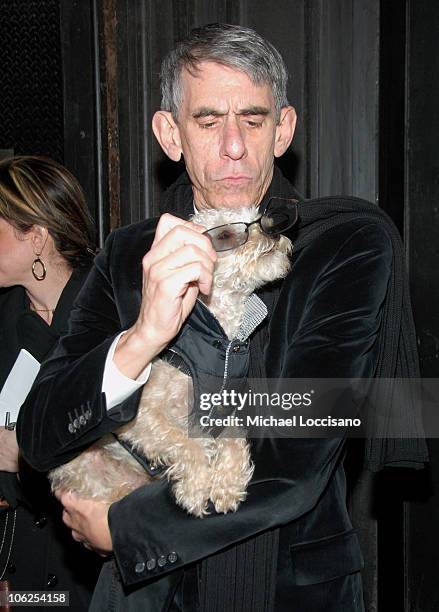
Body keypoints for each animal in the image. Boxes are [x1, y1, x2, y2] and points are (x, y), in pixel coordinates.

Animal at [49, 207, 292, 516]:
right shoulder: (143, 419)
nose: (273, 231)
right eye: (225, 234)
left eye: (261, 215)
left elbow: (234, 440)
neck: (219, 341)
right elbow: (186, 442)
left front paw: (227, 484)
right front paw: (196, 487)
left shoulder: (222, 413)